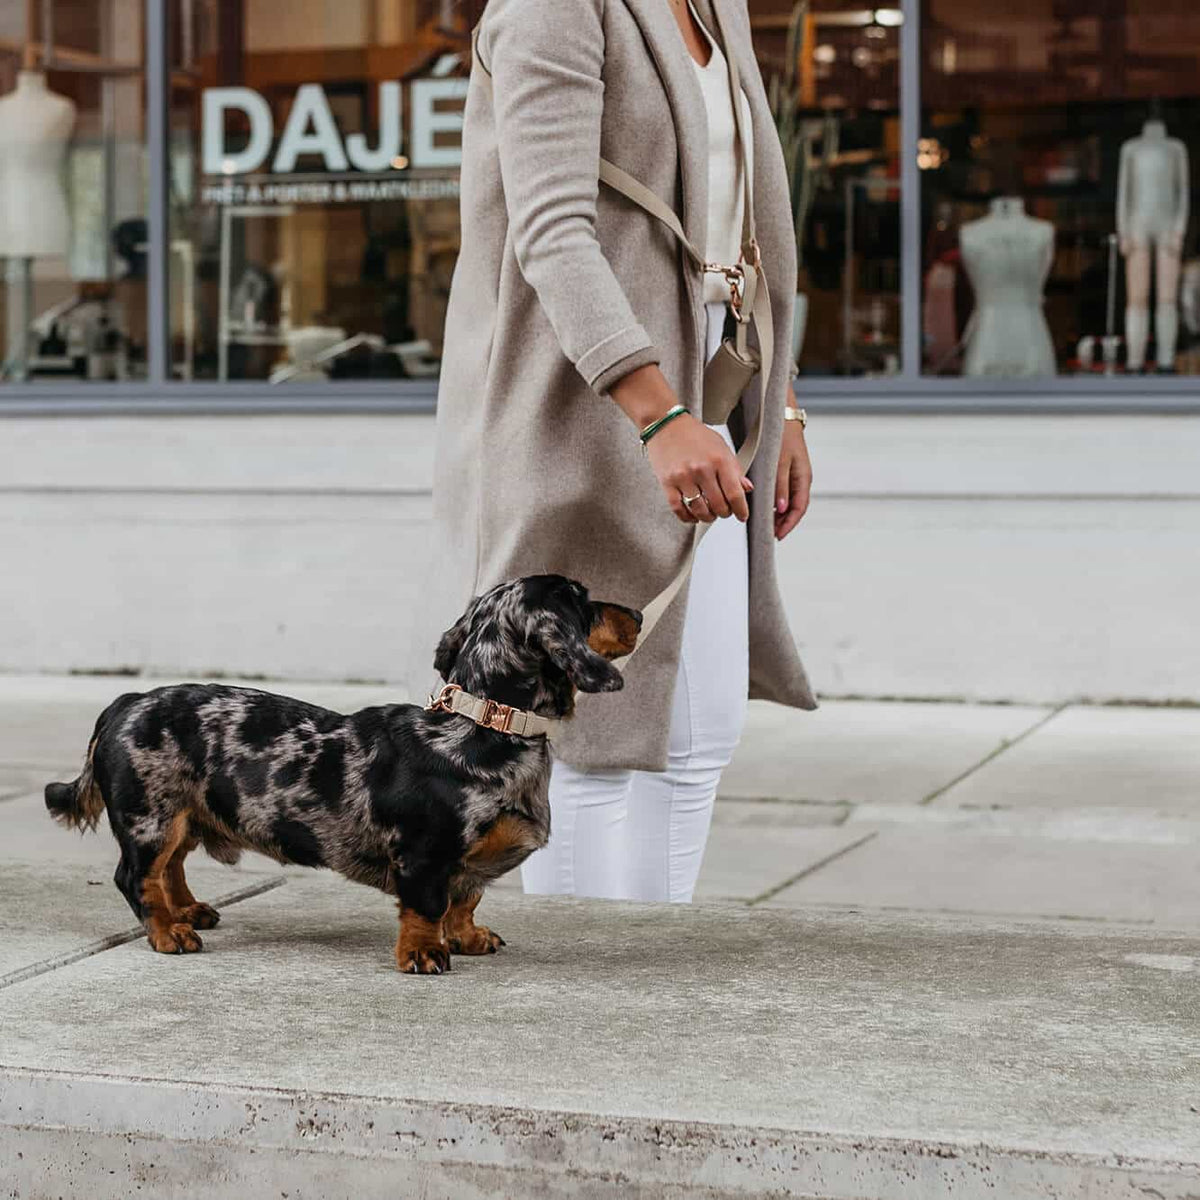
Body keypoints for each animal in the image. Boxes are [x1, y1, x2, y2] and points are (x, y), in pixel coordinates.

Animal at [44, 573, 648, 974]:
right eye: (584, 603)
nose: (641, 616)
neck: (484, 726)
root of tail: (127, 702)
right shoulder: (423, 856)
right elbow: (428, 907)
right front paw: (425, 953)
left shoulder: (467, 867)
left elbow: (466, 900)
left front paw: (468, 937)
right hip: (152, 818)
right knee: (137, 878)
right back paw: (169, 933)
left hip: (182, 817)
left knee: (170, 868)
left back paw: (188, 912)